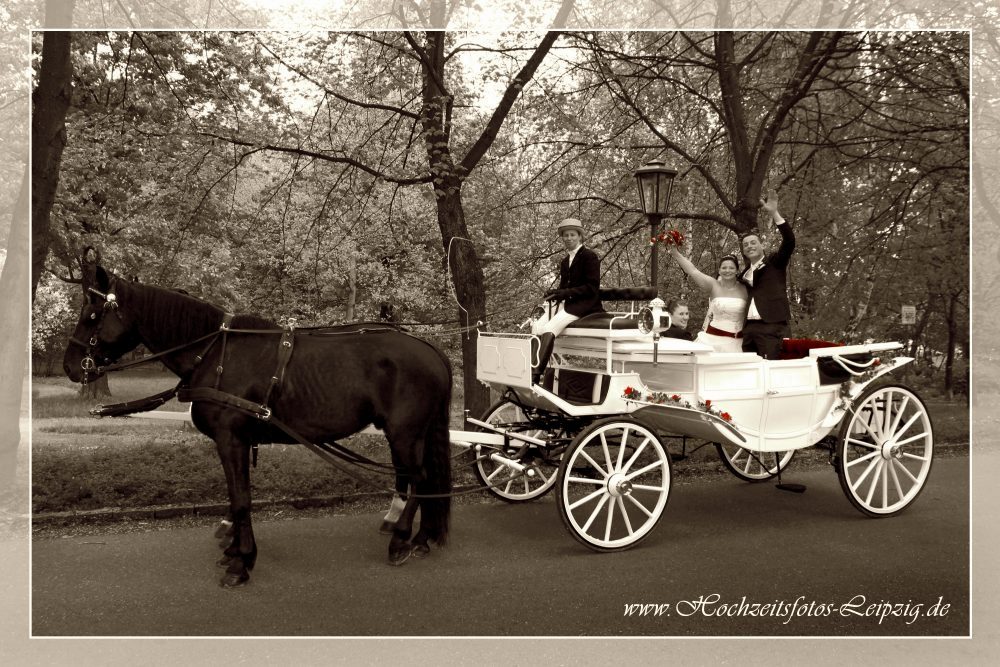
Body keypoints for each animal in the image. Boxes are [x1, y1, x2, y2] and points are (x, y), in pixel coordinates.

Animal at [63, 264, 454, 588]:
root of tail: (430, 348)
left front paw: (242, 563)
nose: (70, 365)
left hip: (404, 434)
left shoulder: (231, 440)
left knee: (418, 479)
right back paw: (420, 539)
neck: (214, 353)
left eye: (91, 315)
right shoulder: (235, 442)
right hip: (410, 435)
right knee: (424, 480)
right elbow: (237, 496)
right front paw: (234, 551)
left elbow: (240, 500)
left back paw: (400, 540)